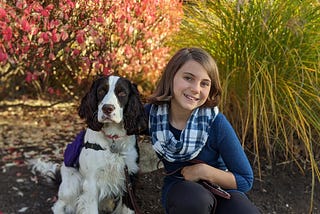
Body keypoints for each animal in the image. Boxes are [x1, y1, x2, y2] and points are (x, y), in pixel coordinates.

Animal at [32, 75, 148, 212]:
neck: (112, 139)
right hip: (73, 183)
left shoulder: (130, 177)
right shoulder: (91, 183)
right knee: (59, 204)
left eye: (122, 93)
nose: (107, 108)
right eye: (101, 91)